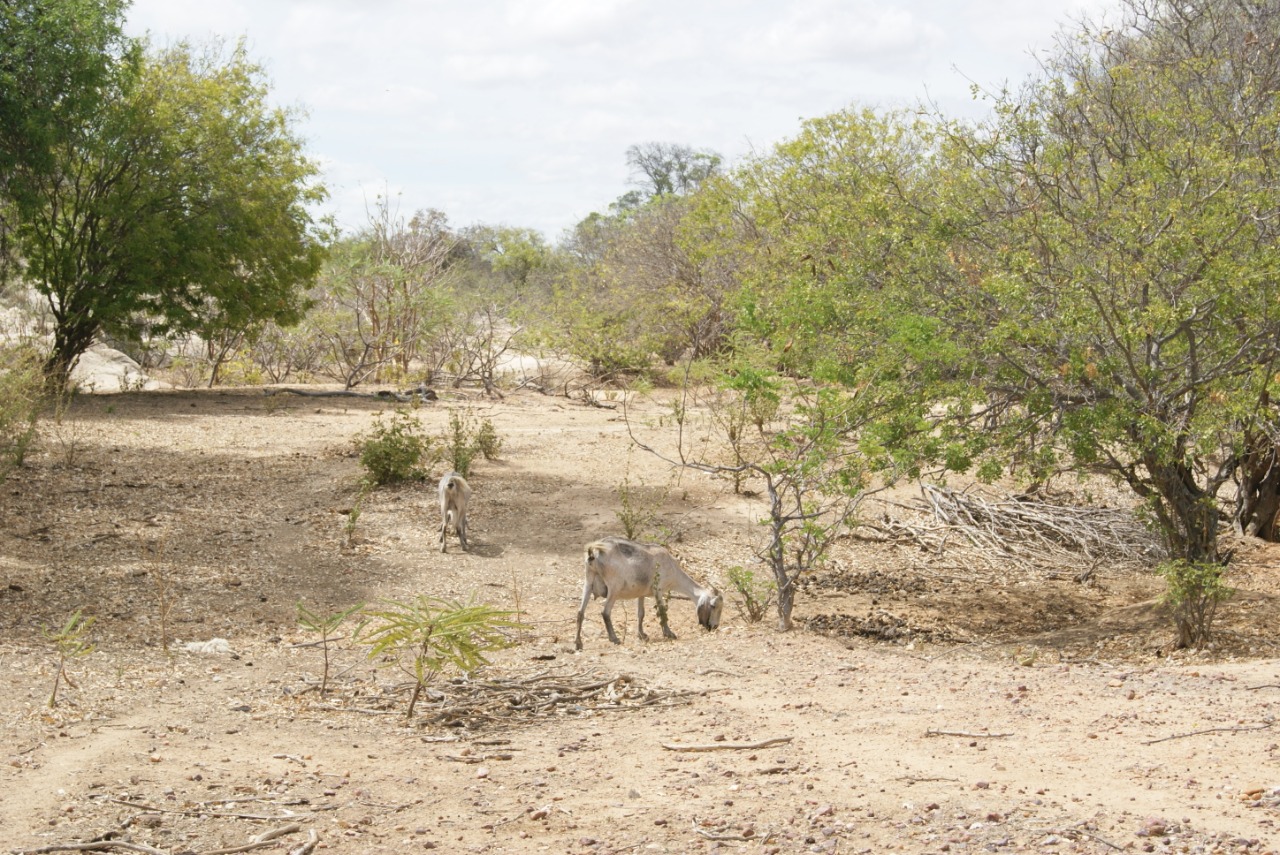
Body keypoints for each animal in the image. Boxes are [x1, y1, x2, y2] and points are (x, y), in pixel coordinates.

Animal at [578, 537, 727, 650]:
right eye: (713, 606)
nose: (714, 626)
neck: (671, 566)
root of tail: (594, 551)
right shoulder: (658, 590)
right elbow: (662, 610)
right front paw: (669, 633)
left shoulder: (641, 594)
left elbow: (641, 614)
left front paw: (642, 634)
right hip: (614, 587)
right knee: (605, 612)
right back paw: (614, 638)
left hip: (588, 581)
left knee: (580, 613)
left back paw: (578, 644)